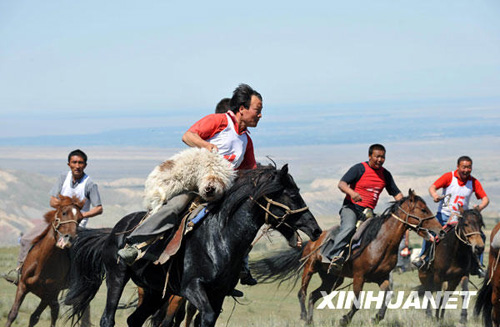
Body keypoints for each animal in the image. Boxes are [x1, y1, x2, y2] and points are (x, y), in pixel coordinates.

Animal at [5, 196, 89, 326]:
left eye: (80, 218)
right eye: (64, 213)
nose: (70, 238)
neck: (42, 265)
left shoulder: (48, 294)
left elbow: (35, 317)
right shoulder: (22, 286)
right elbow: (13, 314)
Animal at [64, 165, 322, 326]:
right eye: (292, 195)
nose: (315, 229)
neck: (219, 239)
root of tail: (115, 231)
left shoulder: (217, 294)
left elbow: (205, 320)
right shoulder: (192, 288)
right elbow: (202, 318)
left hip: (153, 291)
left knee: (134, 320)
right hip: (117, 277)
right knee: (108, 318)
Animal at [252, 191, 444, 326]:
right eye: (423, 209)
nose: (440, 230)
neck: (380, 242)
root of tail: (313, 239)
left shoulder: (381, 278)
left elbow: (388, 297)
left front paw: (376, 318)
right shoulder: (359, 276)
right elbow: (357, 303)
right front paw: (344, 319)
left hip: (332, 279)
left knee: (314, 295)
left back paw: (310, 321)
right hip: (310, 267)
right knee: (302, 293)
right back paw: (304, 316)